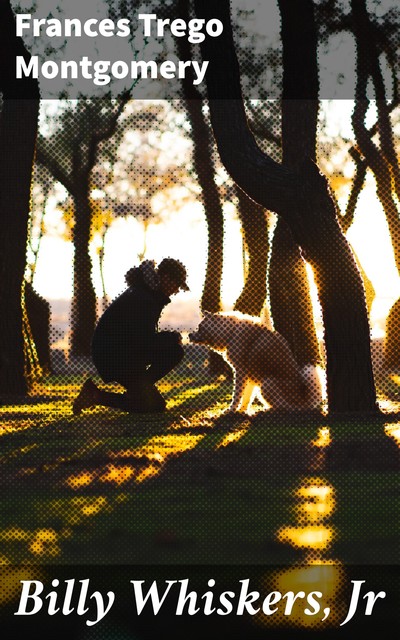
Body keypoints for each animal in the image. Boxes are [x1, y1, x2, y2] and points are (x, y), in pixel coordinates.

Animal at [189, 312, 324, 416]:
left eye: (200, 327)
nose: (190, 335)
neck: (231, 332)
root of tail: (304, 401)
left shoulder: (240, 372)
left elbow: (237, 395)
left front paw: (231, 410)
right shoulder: (250, 377)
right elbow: (246, 398)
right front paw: (242, 411)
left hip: (266, 383)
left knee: (286, 408)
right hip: (261, 387)